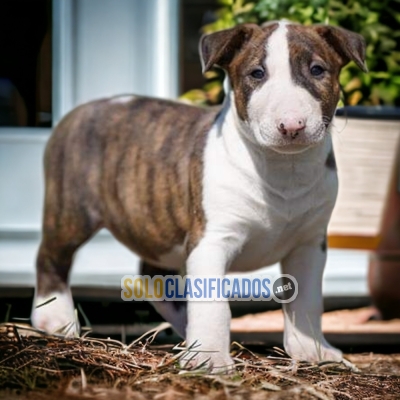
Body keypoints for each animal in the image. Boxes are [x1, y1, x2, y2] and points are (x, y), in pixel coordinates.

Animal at [32, 21, 368, 372]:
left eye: (317, 70)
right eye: (257, 73)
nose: (292, 126)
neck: (282, 168)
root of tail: (83, 109)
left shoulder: (308, 245)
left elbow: (307, 300)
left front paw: (312, 350)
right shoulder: (211, 239)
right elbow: (214, 303)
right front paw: (210, 358)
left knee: (155, 278)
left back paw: (186, 333)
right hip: (72, 209)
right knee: (51, 257)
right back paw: (54, 319)